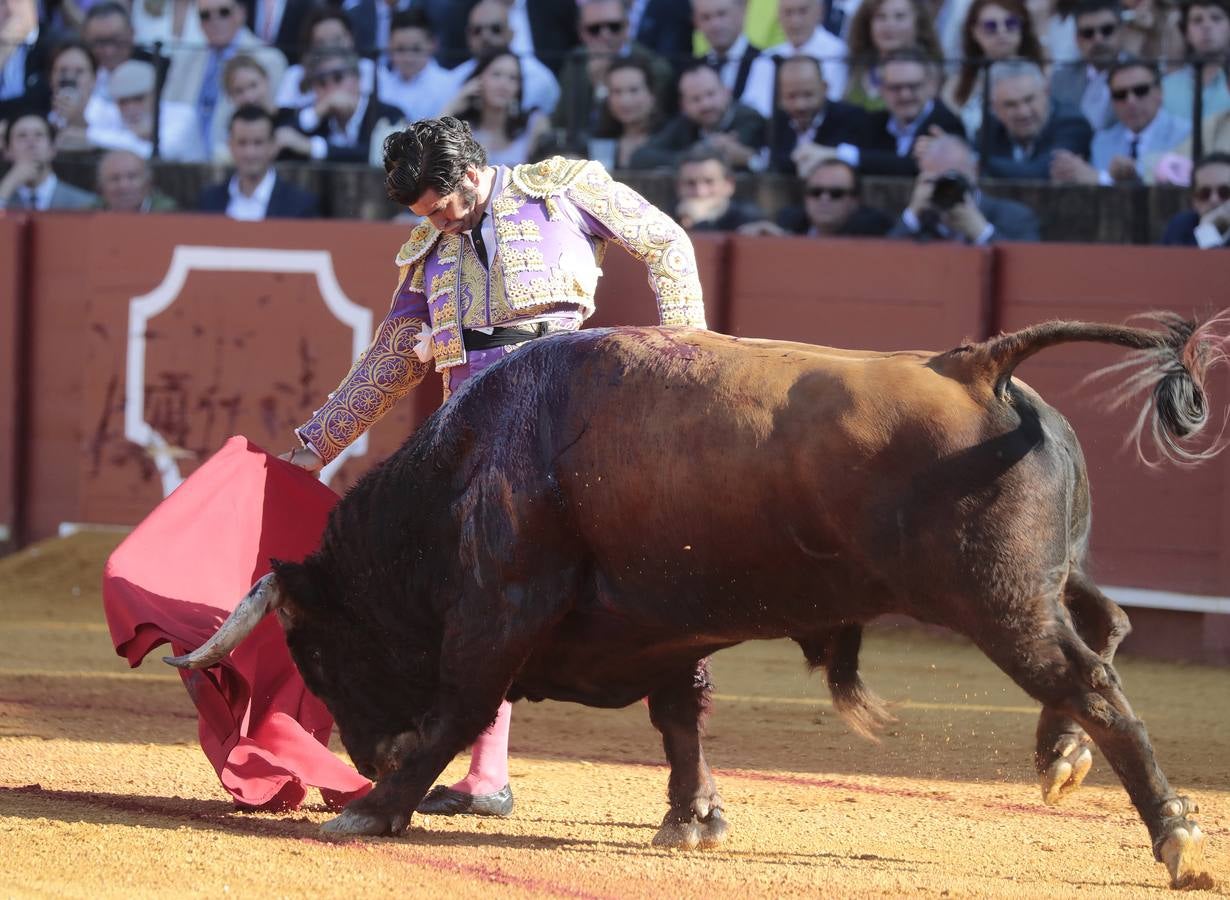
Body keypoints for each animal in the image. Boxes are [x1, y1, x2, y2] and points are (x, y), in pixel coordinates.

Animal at [166, 314, 1220, 885]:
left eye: (314, 653)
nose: (366, 757)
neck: (474, 462)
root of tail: (975, 364)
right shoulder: (662, 631)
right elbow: (681, 717)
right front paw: (694, 819)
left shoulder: (500, 608)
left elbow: (463, 703)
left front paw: (375, 810)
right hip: (1039, 581)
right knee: (1107, 630)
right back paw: (1061, 762)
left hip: (995, 602)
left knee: (1093, 682)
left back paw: (1175, 836)